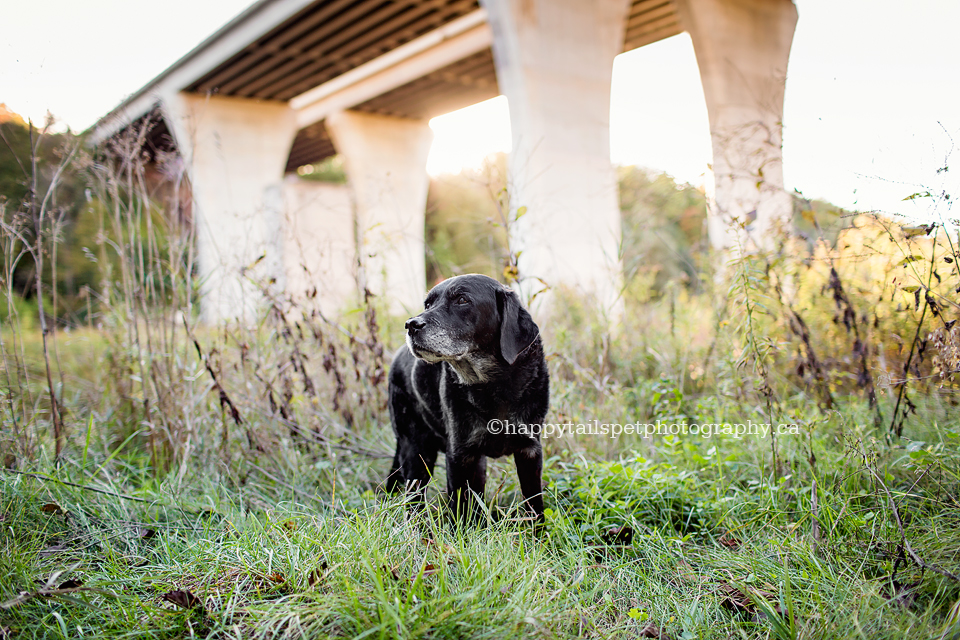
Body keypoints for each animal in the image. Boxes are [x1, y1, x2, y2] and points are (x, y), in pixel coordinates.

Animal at [384, 274, 548, 520]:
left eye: (462, 299)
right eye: (428, 304)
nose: (411, 324)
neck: (494, 386)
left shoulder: (529, 451)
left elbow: (535, 507)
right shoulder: (459, 456)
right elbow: (459, 510)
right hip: (417, 453)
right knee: (413, 502)